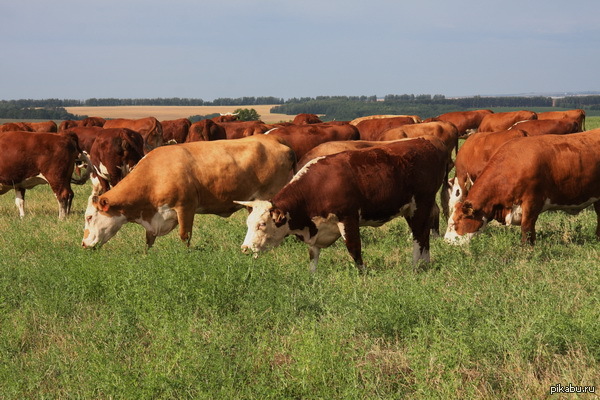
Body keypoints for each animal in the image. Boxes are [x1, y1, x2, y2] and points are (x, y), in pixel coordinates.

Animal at [81, 134, 296, 250]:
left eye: (90, 217)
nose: (83, 244)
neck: (155, 174)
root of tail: (274, 139)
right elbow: (149, 241)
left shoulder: (185, 208)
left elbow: (185, 236)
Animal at [237, 137, 448, 272]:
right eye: (248, 223)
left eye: (262, 224)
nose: (244, 248)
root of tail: (426, 142)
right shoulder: (316, 230)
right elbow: (313, 256)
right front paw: (312, 278)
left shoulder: (348, 218)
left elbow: (354, 249)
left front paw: (363, 274)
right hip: (410, 208)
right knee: (423, 234)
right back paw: (425, 264)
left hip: (421, 203)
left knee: (420, 234)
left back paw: (416, 266)